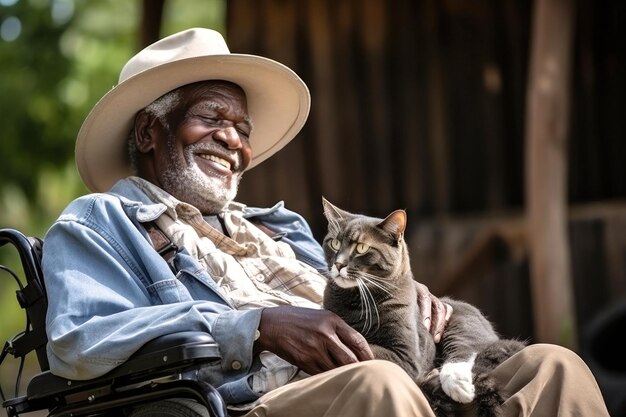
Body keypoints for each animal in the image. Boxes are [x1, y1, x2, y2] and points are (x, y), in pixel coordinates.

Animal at [320, 197, 524, 416]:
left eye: (361, 248)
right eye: (334, 243)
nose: (338, 264)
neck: (355, 300)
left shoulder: (406, 355)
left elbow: (372, 348)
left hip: (459, 324)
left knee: (464, 351)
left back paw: (458, 386)